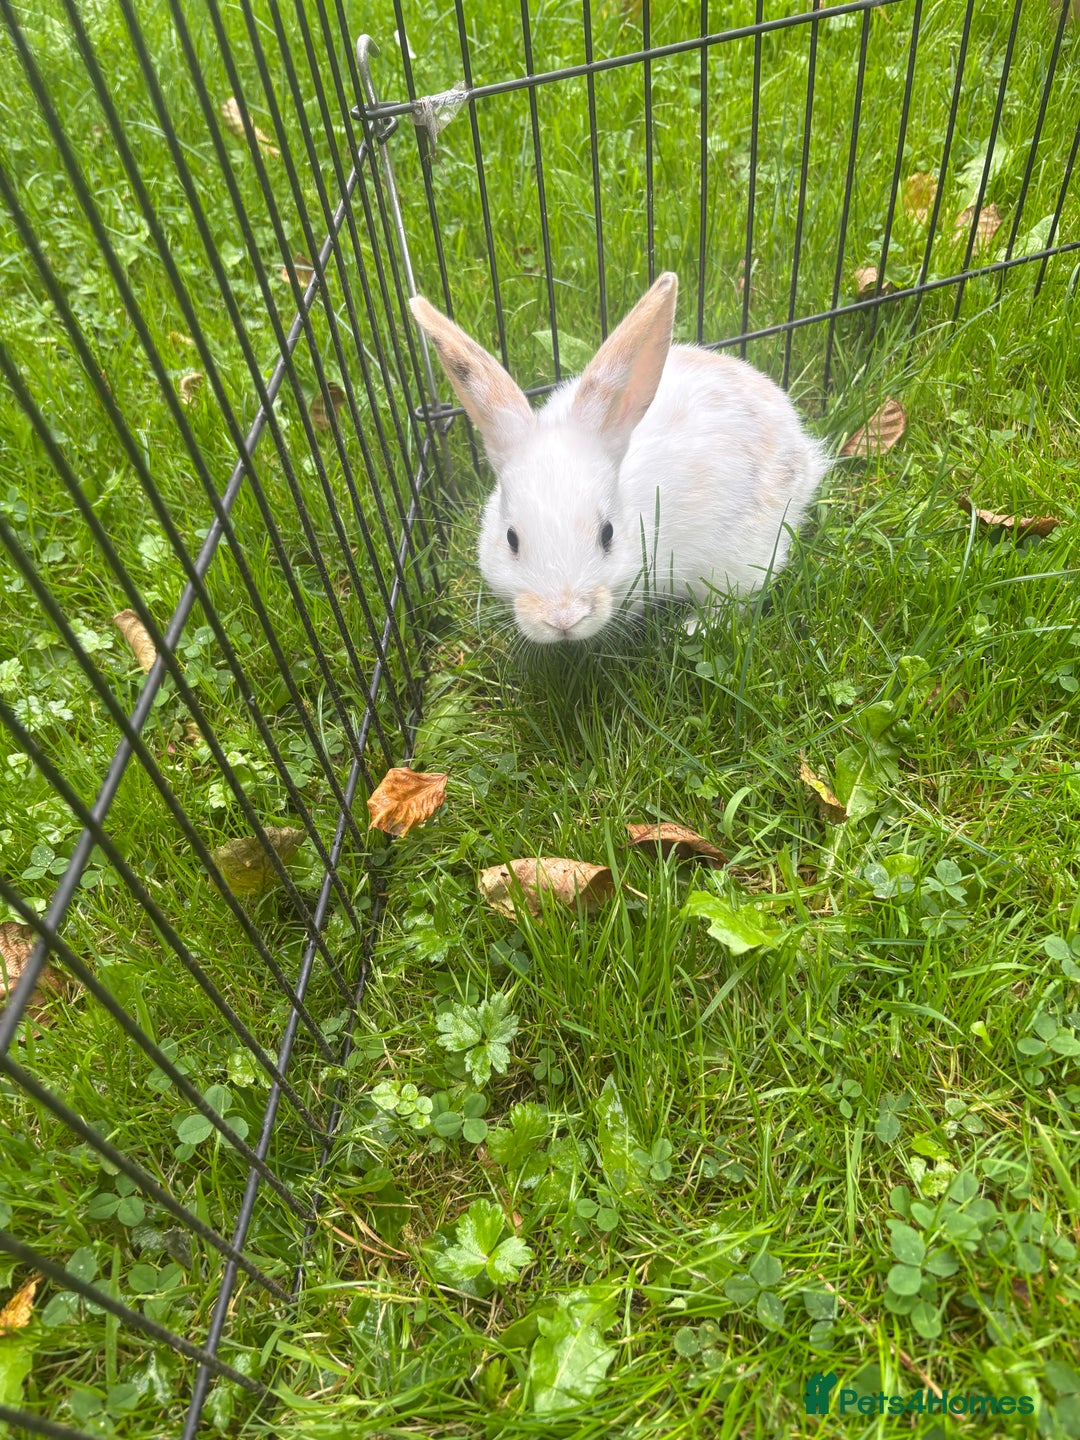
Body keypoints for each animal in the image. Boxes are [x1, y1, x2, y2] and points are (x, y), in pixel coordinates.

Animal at [409, 272, 828, 644]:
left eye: (607, 533)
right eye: (511, 539)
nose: (563, 618)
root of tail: (801, 446)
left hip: (743, 555)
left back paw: (693, 627)